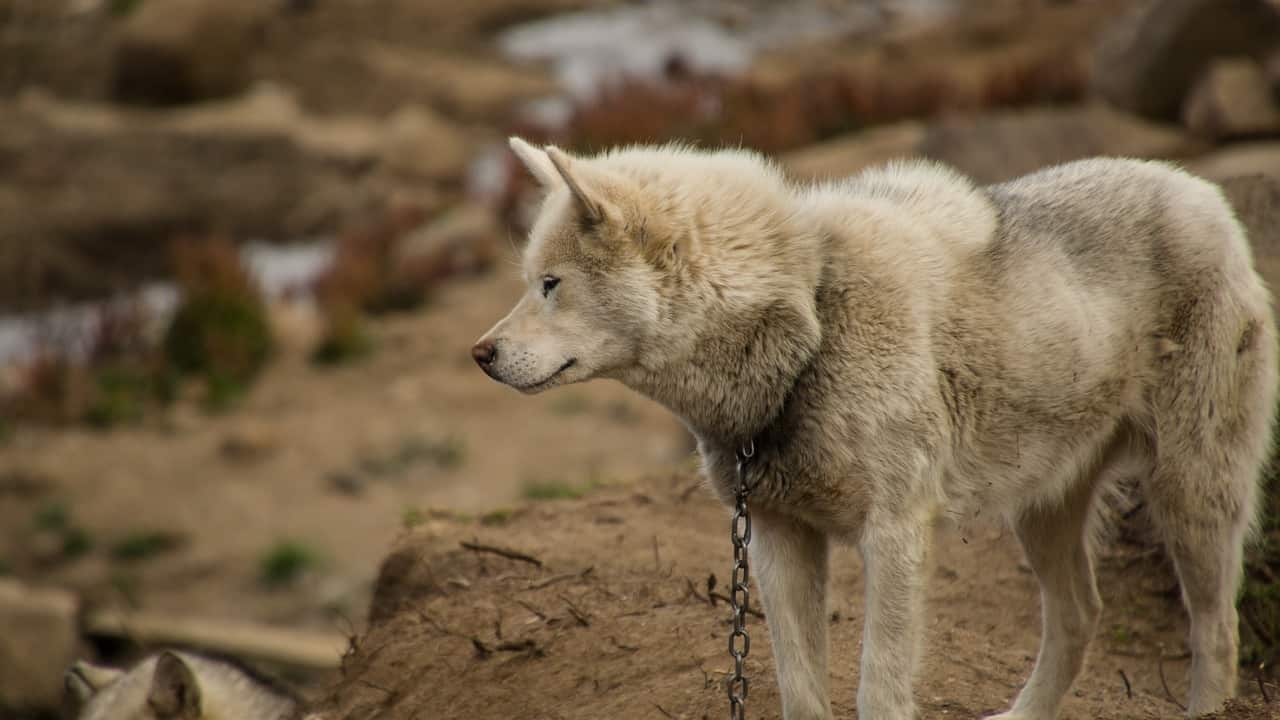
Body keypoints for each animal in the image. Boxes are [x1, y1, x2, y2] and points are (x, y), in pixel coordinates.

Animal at [476, 137, 1274, 712]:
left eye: (551, 285)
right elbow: (801, 691)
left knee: (1218, 628)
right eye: (529, 283)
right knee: (1081, 616)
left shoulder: (891, 535)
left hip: (1191, 497)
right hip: (1043, 511)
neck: (813, 320)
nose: (480, 354)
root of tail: (1203, 191)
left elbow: (879, 689)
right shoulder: (777, 539)